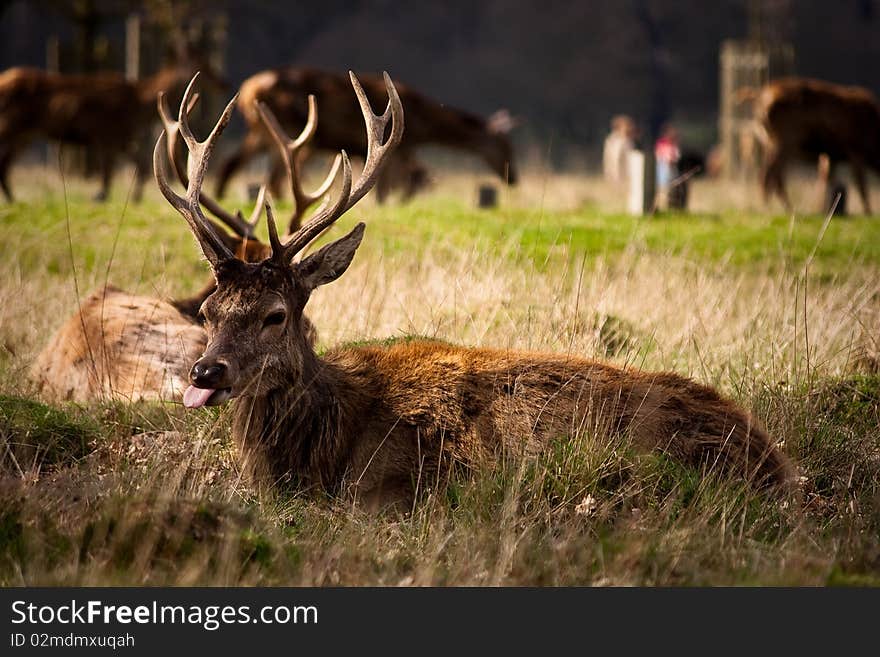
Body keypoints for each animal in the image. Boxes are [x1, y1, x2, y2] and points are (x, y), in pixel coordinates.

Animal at [153, 75, 796, 508]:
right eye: (207, 311)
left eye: (276, 315)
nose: (205, 372)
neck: (321, 449)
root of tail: (773, 461)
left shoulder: (391, 488)